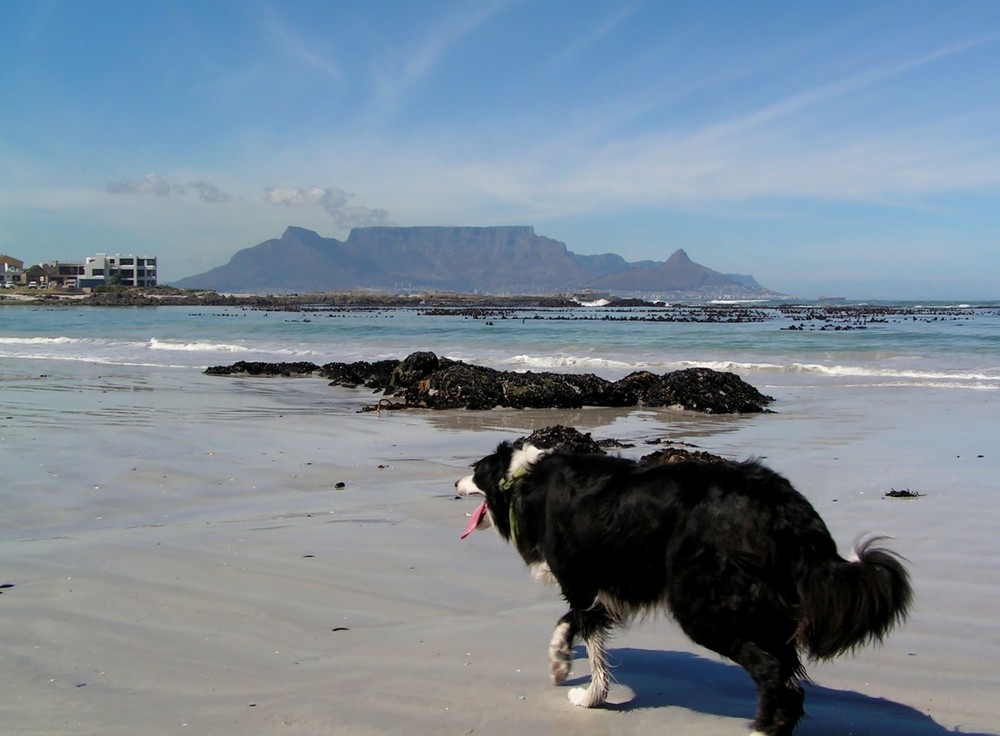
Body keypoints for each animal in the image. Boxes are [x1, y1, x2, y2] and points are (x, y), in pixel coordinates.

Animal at [458, 442, 912, 736]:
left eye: (474, 470)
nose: (455, 484)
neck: (522, 479)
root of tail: (784, 506)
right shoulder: (598, 586)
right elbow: (573, 622)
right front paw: (559, 663)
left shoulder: (581, 578)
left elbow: (592, 640)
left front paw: (590, 697)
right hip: (764, 607)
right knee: (790, 680)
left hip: (702, 604)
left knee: (771, 670)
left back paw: (760, 730)